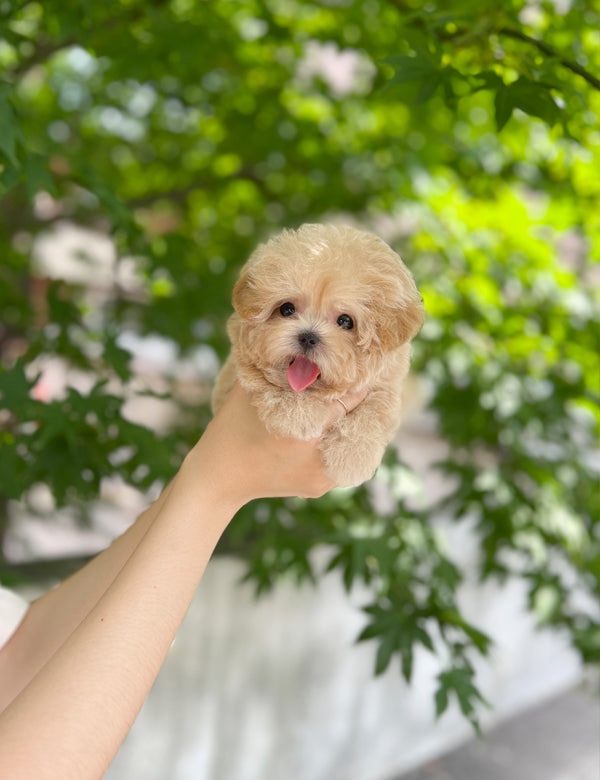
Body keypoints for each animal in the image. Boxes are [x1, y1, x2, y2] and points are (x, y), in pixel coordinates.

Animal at [213, 222, 424, 484]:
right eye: (287, 309)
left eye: (345, 321)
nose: (308, 336)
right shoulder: (237, 365)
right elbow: (265, 381)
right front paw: (297, 416)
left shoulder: (387, 384)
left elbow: (374, 411)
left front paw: (352, 458)